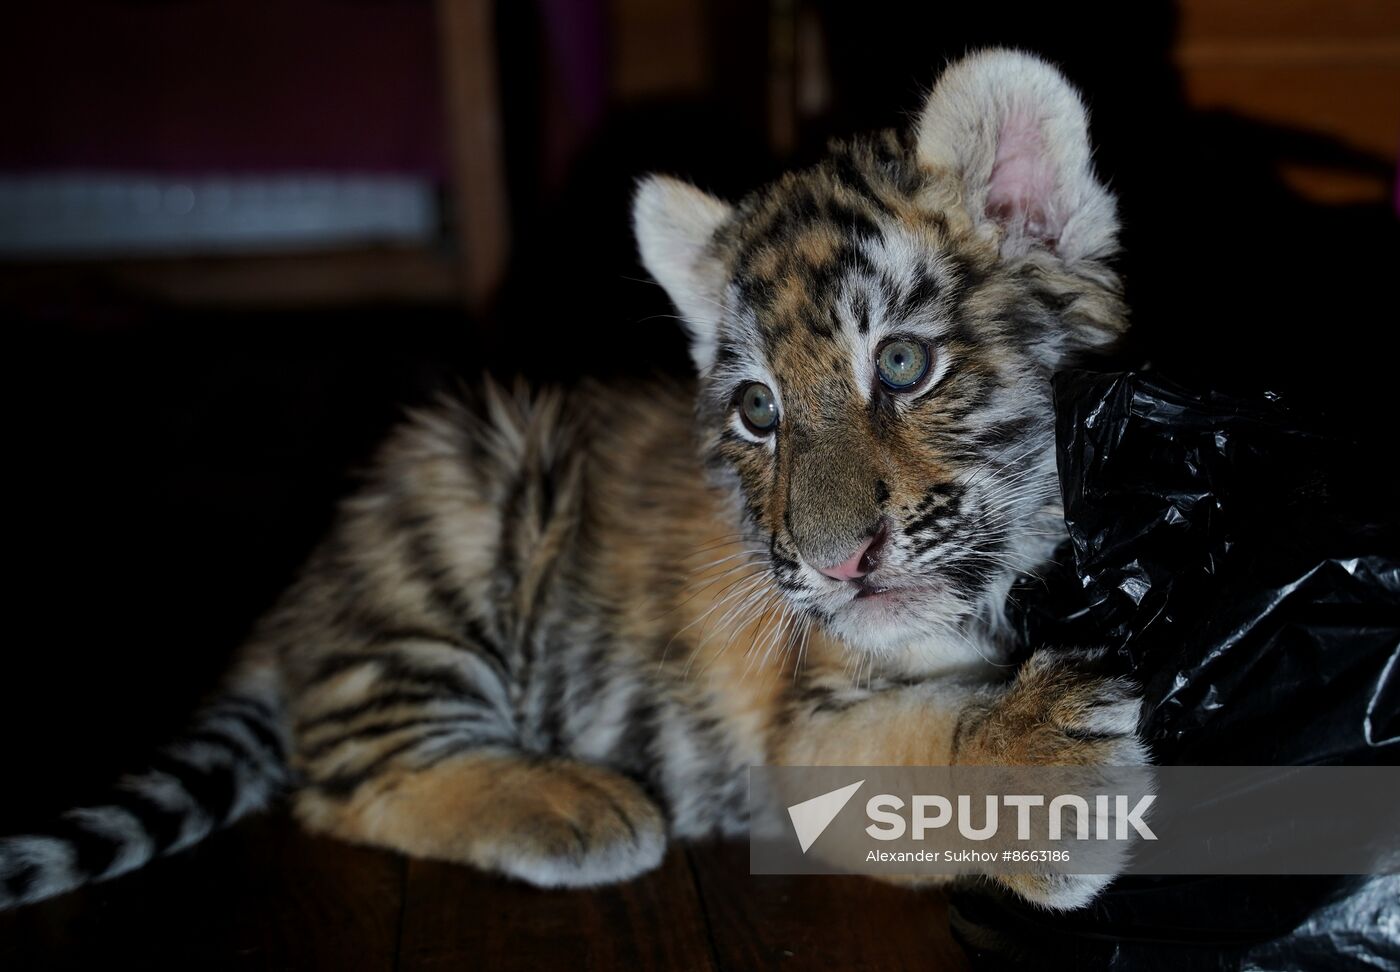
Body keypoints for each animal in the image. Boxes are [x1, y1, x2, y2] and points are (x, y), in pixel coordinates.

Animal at [0, 49, 1146, 913]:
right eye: (757, 411)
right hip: (456, 515)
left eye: (902, 364)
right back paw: (579, 809)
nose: (831, 567)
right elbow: (924, 747)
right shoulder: (804, 731)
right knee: (342, 778)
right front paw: (1048, 756)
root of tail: (304, 592)